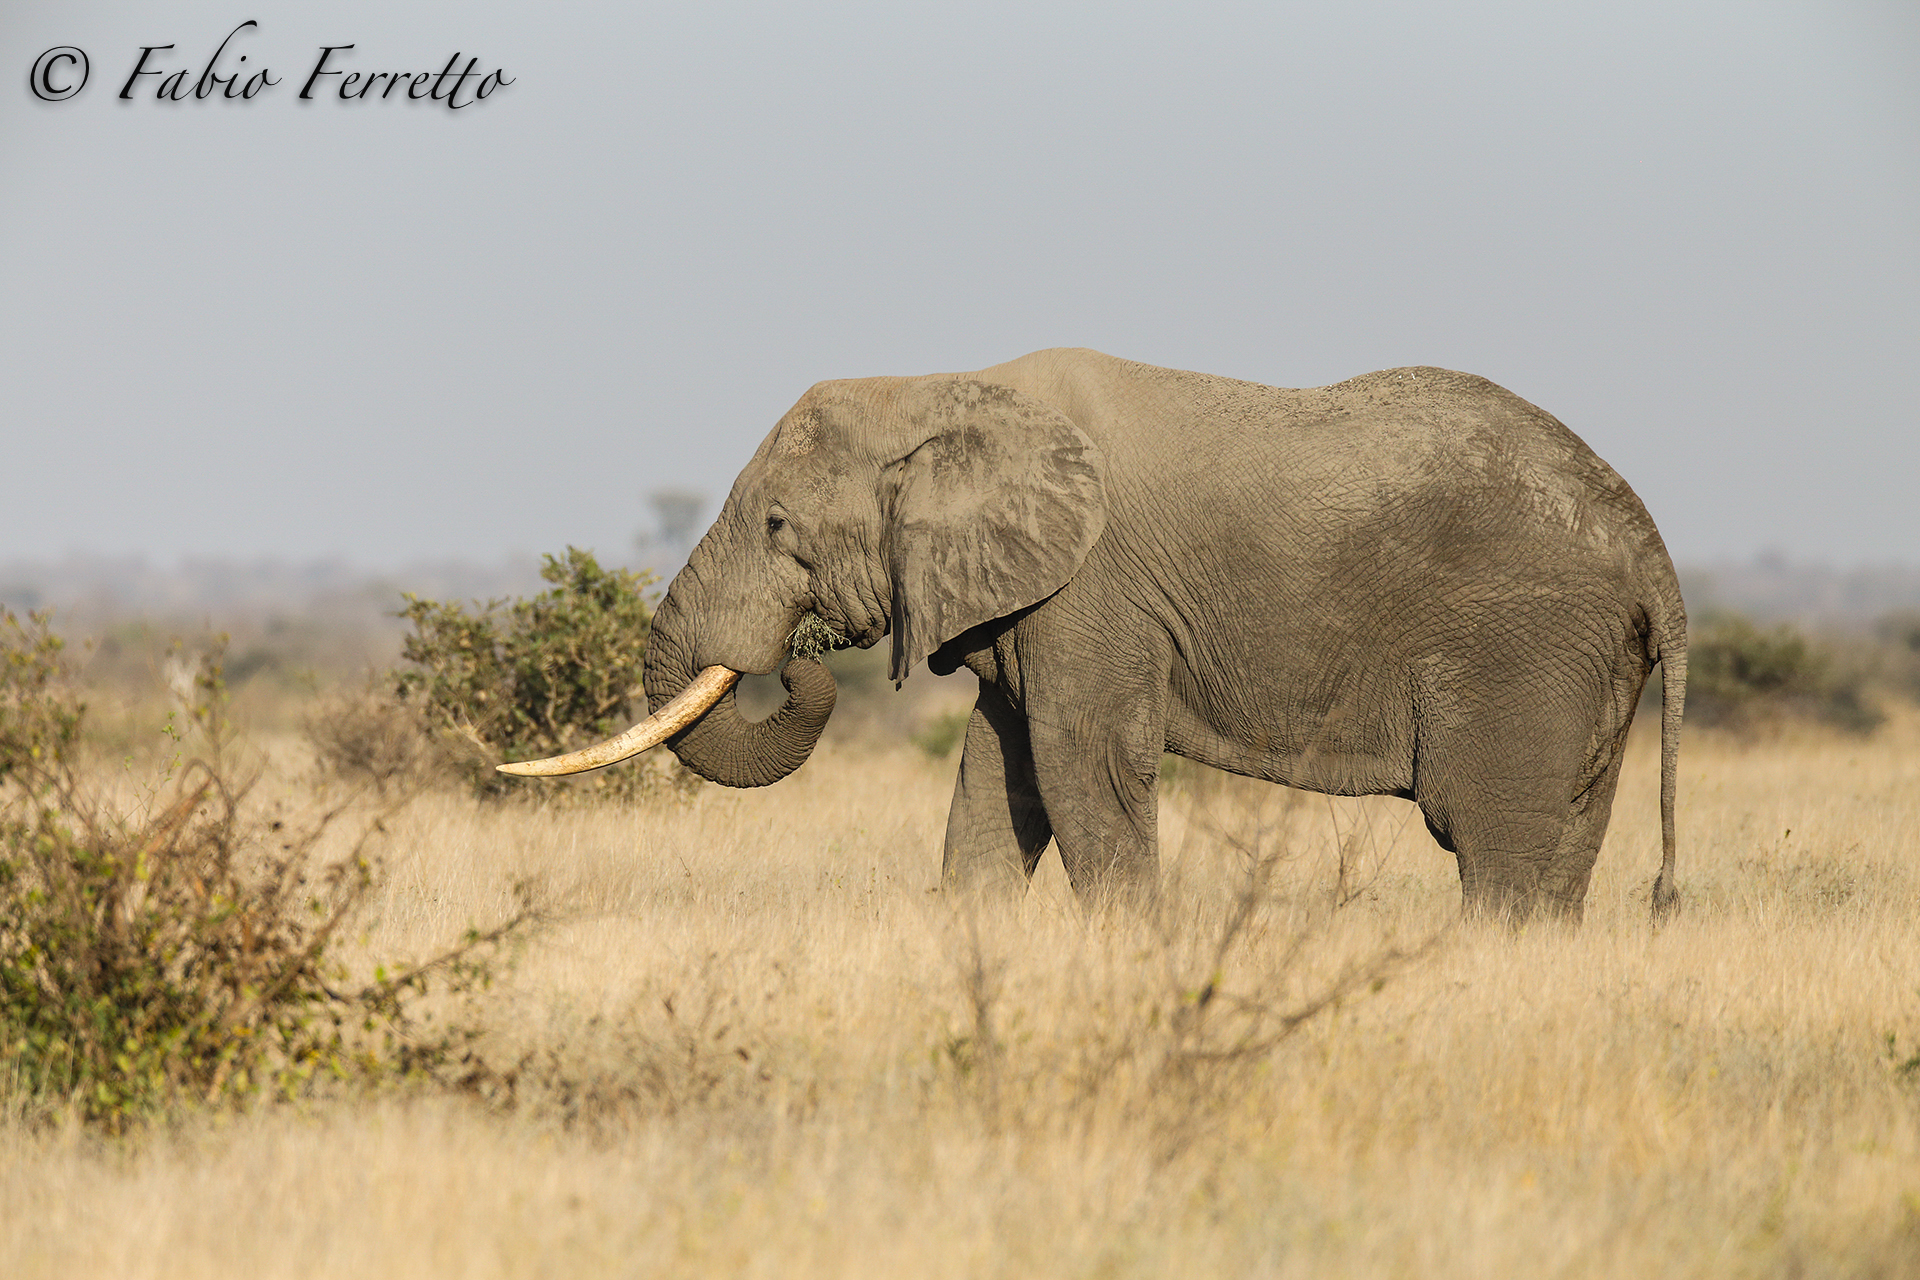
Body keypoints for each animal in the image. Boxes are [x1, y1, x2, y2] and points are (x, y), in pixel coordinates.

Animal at [502, 348, 1687, 922]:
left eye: (779, 528)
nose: (800, 666)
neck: (945, 389)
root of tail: (1652, 552)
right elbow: (999, 780)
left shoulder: (1094, 594)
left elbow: (1085, 769)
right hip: (1588, 665)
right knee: (1566, 842)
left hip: (1523, 649)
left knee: (1492, 841)